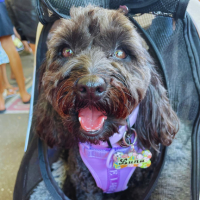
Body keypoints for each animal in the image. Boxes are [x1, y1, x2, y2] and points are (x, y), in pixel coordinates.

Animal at [32, 5, 179, 200]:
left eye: (120, 53)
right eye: (66, 51)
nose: (90, 87)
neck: (108, 146)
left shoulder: (140, 187)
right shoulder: (86, 186)